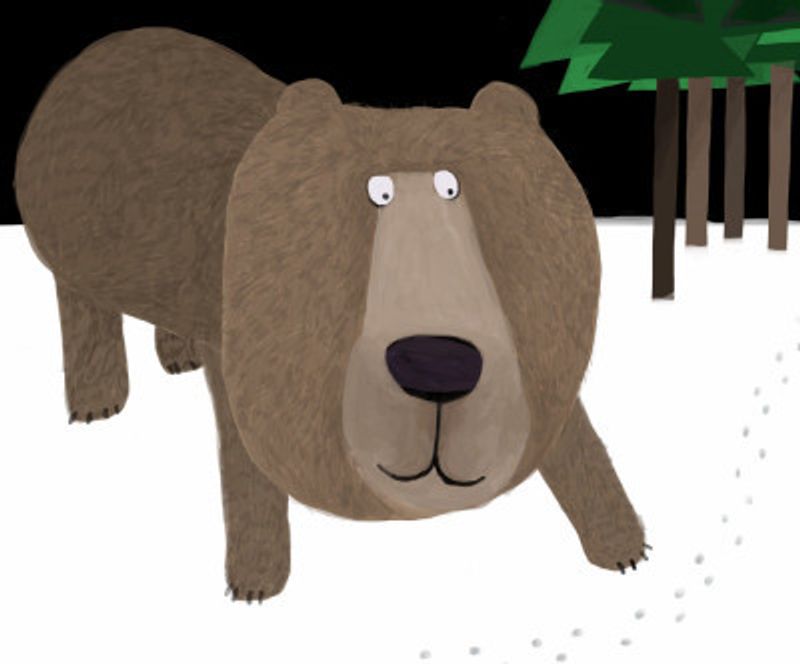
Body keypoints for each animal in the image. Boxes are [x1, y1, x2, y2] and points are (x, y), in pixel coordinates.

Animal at [13, 27, 648, 602]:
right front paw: (254, 586)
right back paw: (97, 404)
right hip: (72, 250)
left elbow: (575, 436)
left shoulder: (534, 356)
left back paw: (177, 355)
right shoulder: (241, 342)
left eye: (454, 188)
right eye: (377, 193)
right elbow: (246, 460)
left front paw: (624, 551)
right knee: (82, 305)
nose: (438, 364)